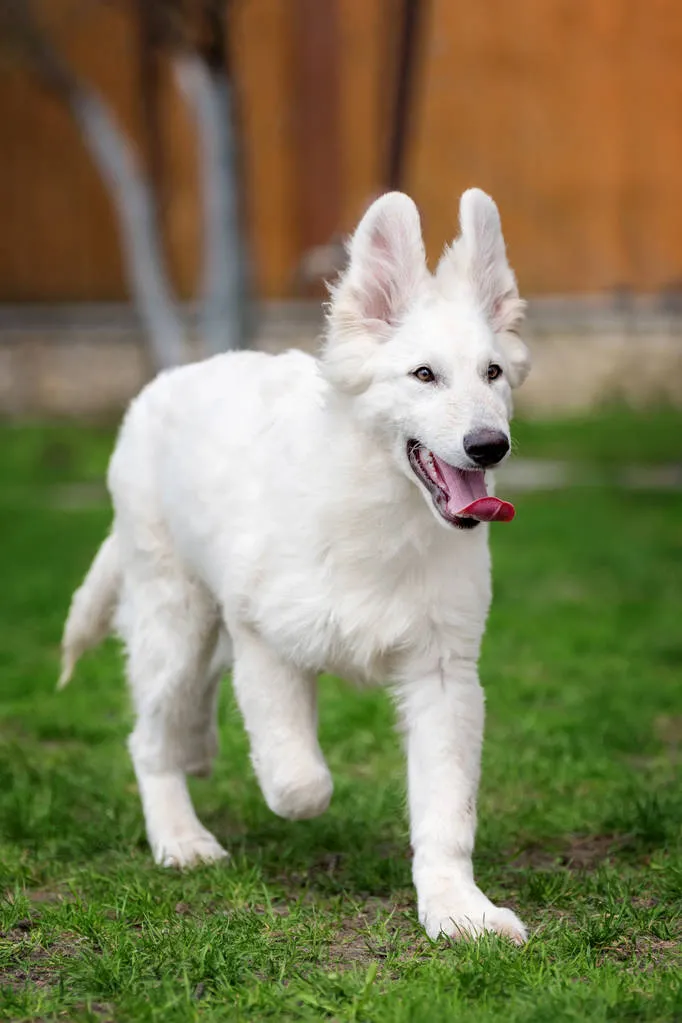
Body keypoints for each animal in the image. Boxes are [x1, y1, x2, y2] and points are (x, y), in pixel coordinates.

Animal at [61, 190, 531, 941]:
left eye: (493, 373)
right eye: (424, 375)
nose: (489, 445)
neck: (381, 513)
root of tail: (167, 382)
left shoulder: (443, 673)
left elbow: (447, 808)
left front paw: (458, 908)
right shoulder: (266, 644)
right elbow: (300, 780)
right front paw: (291, 792)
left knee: (191, 700)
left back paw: (198, 751)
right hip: (177, 618)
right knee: (148, 737)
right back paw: (180, 836)